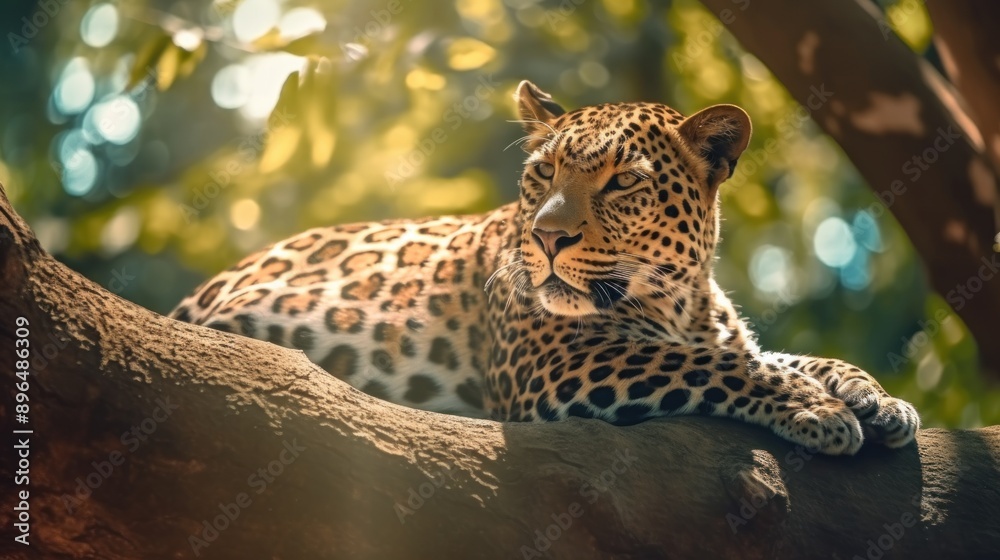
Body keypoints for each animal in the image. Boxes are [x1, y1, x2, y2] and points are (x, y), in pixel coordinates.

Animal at [170, 80, 920, 455]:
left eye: (623, 182)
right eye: (542, 173)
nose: (548, 237)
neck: (678, 299)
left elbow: (772, 355)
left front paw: (876, 397)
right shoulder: (557, 357)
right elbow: (715, 365)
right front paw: (817, 409)